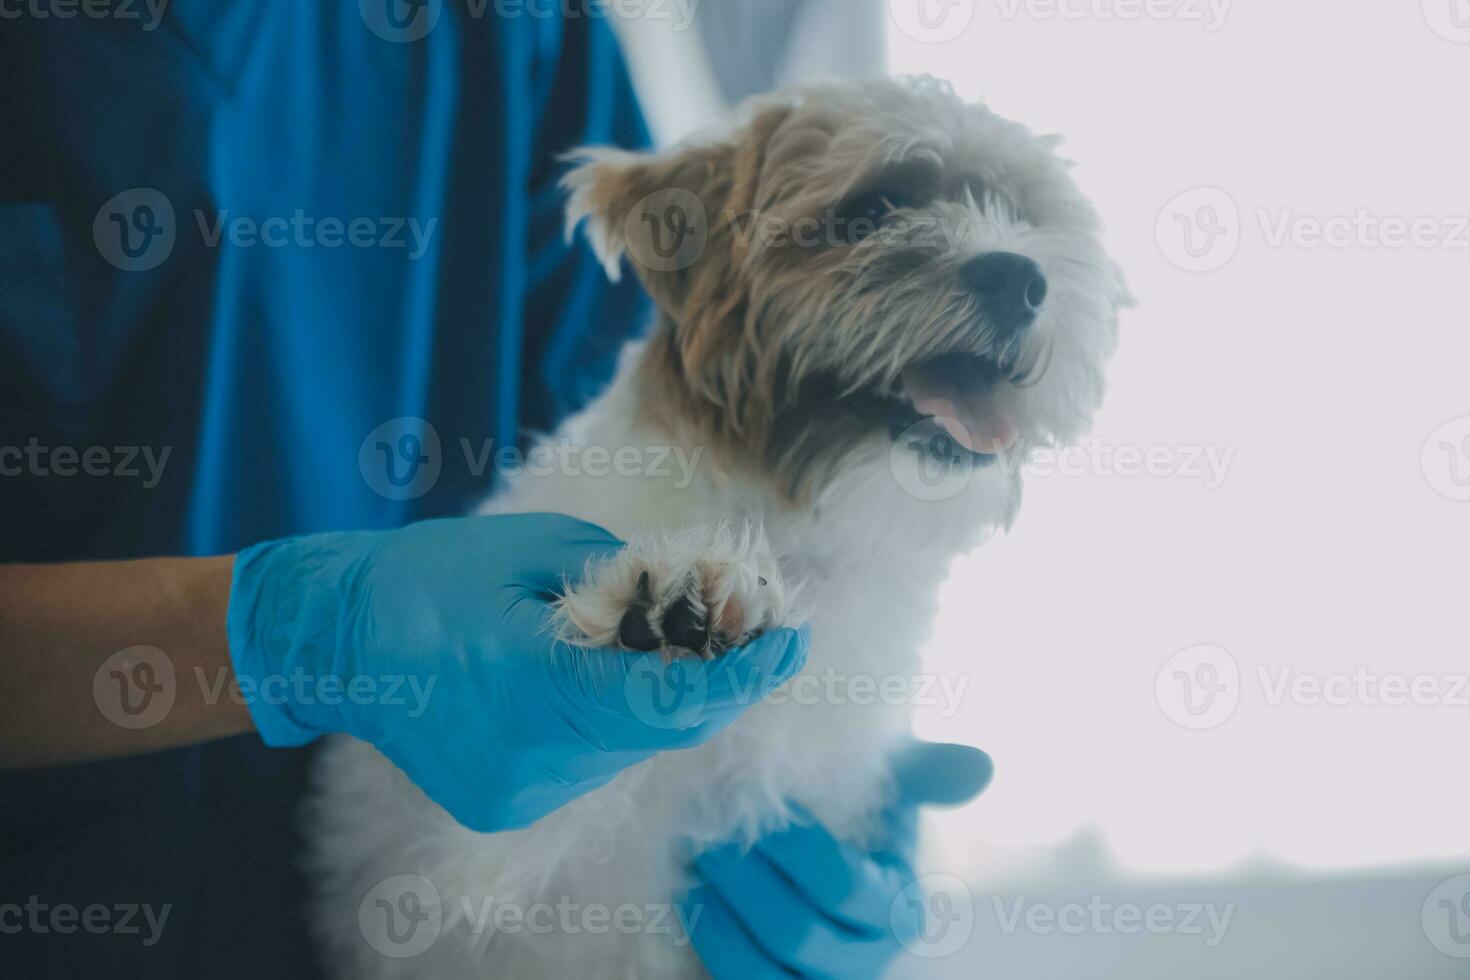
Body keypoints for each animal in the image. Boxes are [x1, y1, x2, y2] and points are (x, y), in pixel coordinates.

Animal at [304, 78, 1117, 980]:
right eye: (872, 209)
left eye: (1021, 215)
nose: (1020, 276)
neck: (791, 539)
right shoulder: (455, 862)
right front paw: (670, 602)